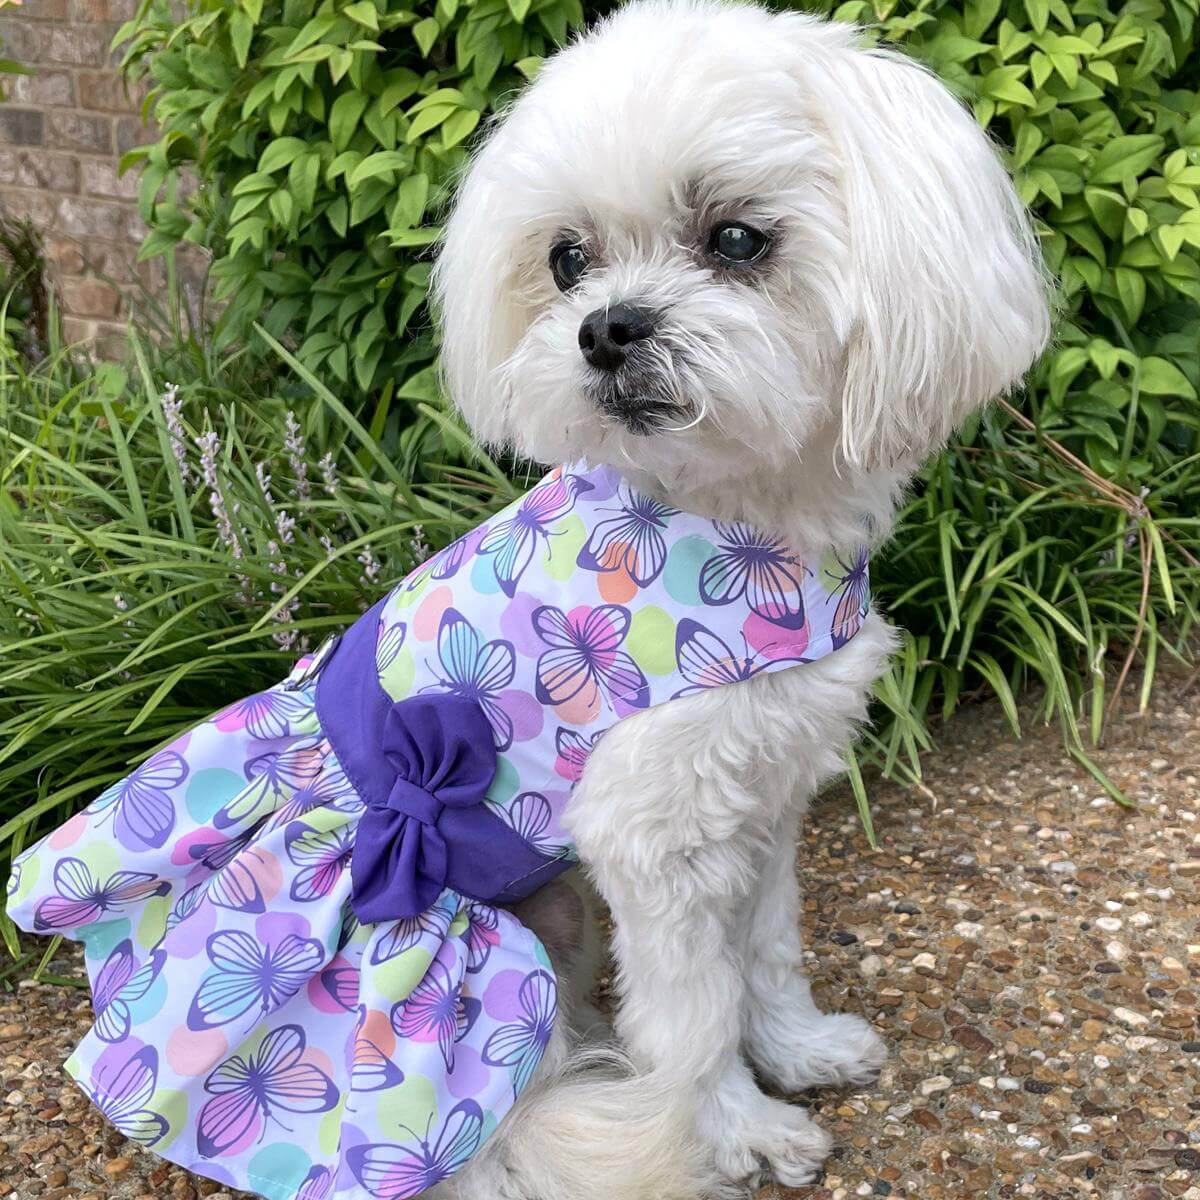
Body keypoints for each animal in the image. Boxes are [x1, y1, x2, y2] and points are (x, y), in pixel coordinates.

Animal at [432, 4, 1051, 1195]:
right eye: (566, 259)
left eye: (735, 239)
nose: (605, 327)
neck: (735, 526)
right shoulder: (654, 838)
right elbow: (693, 1012)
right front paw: (729, 1127)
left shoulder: (761, 793)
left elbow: (761, 953)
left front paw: (798, 1051)